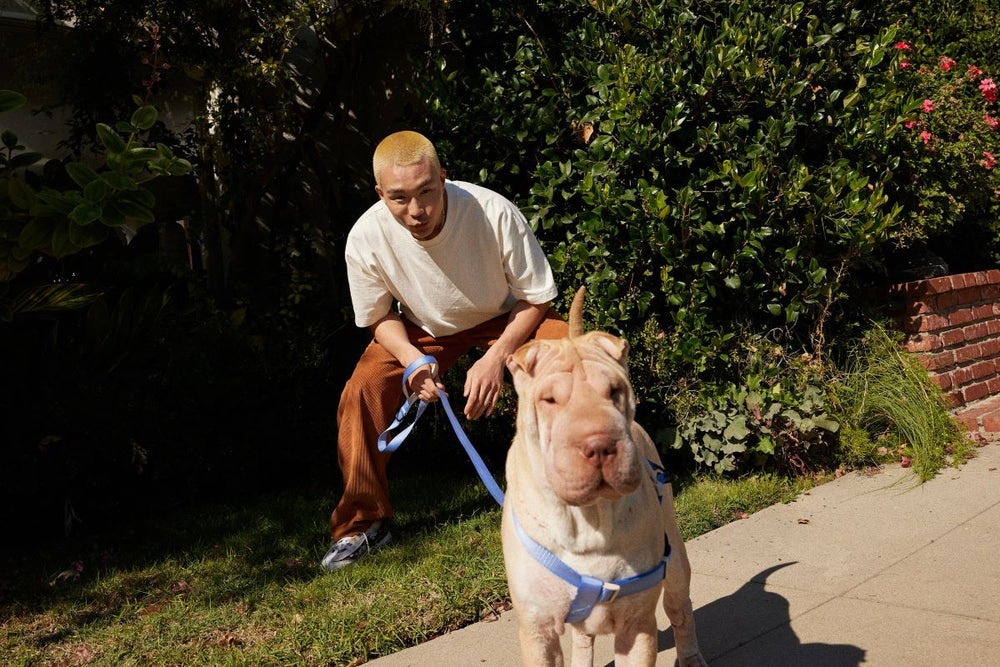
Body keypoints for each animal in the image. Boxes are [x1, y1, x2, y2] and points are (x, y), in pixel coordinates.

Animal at [504, 288, 708, 667]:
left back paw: (689, 656)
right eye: (549, 400)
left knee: (680, 609)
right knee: (583, 639)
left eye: (614, 391)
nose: (600, 444)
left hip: (675, 563)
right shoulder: (538, 630)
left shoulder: (637, 625)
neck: (586, 521)